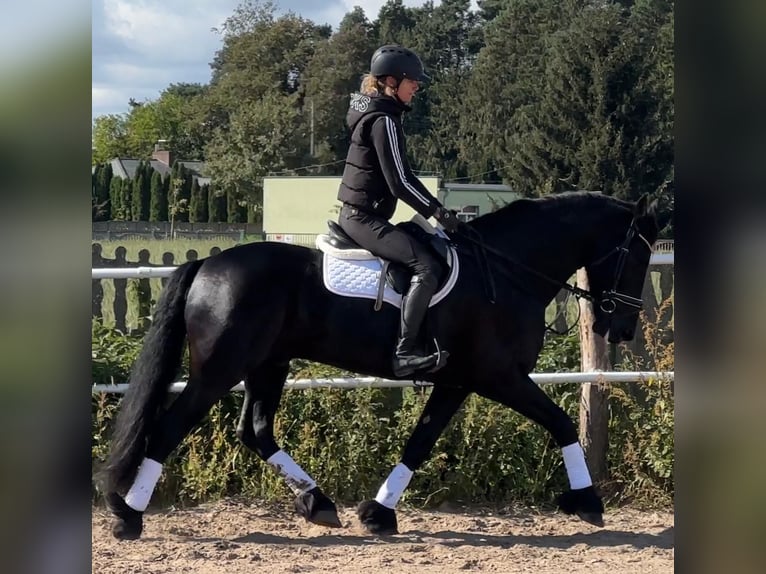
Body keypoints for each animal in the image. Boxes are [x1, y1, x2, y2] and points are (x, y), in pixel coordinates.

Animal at [97, 192, 660, 540]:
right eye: (637, 255)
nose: (622, 328)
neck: (505, 271)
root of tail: (206, 265)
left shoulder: (459, 381)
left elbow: (421, 440)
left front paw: (378, 512)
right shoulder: (500, 376)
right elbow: (562, 422)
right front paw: (588, 502)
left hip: (268, 363)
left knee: (255, 430)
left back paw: (319, 504)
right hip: (220, 367)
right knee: (168, 429)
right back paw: (127, 515)